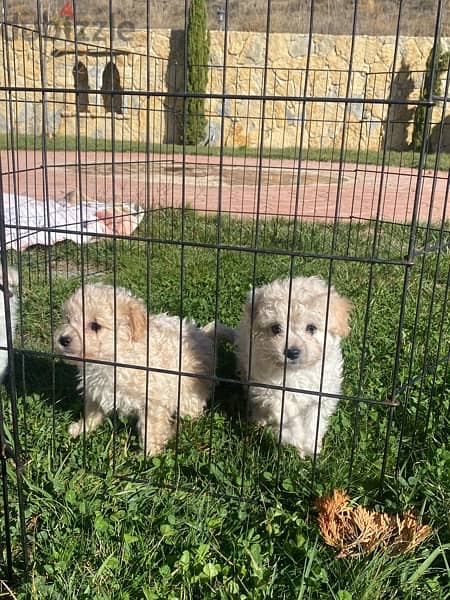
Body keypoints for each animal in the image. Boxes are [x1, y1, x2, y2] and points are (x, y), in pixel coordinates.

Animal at [55, 284, 218, 458]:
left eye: (95, 326)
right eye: (67, 320)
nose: (63, 339)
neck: (113, 358)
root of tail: (204, 335)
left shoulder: (153, 398)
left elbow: (151, 428)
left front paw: (148, 454)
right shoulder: (96, 389)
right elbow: (92, 411)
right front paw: (82, 429)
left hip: (189, 395)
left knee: (193, 413)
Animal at [236, 276, 352, 454]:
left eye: (311, 328)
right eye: (276, 328)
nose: (292, 352)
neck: (296, 372)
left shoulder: (320, 395)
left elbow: (313, 421)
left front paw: (310, 446)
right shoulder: (270, 389)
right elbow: (287, 416)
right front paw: (294, 440)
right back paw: (260, 419)